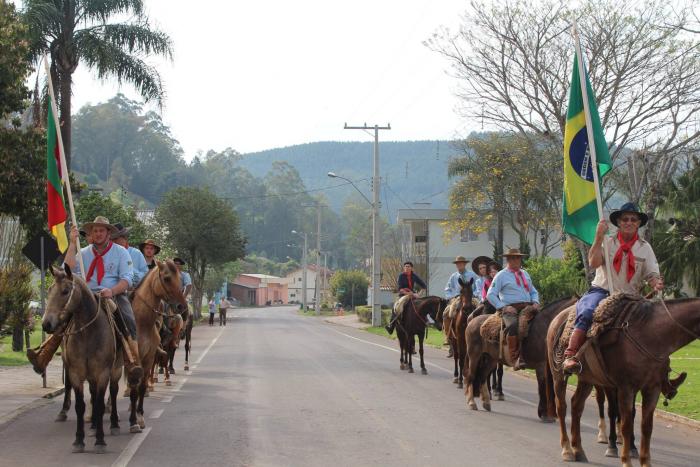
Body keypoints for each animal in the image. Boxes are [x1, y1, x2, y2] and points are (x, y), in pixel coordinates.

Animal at [43, 266, 121, 453]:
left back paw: (115, 424)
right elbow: (80, 405)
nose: (46, 324)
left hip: (116, 369)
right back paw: (92, 426)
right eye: (49, 290)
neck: (88, 334)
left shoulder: (102, 373)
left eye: (65, 291)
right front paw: (79, 440)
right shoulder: (76, 373)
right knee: (93, 394)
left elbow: (100, 404)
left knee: (114, 392)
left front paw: (100, 441)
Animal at [128, 260, 187, 433]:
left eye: (180, 278)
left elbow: (141, 387)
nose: (181, 306)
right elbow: (134, 388)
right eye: (166, 278)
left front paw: (140, 417)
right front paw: (133, 421)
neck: (141, 322)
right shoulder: (134, 358)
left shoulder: (149, 356)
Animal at [546, 297, 699, 466]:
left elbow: (646, 427)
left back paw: (578, 450)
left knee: (576, 405)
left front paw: (644, 460)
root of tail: (557, 318)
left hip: (587, 379)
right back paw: (567, 449)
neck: (651, 335)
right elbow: (625, 423)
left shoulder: (652, 389)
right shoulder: (625, 388)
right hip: (558, 375)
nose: (671, 392)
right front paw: (624, 458)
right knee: (562, 407)